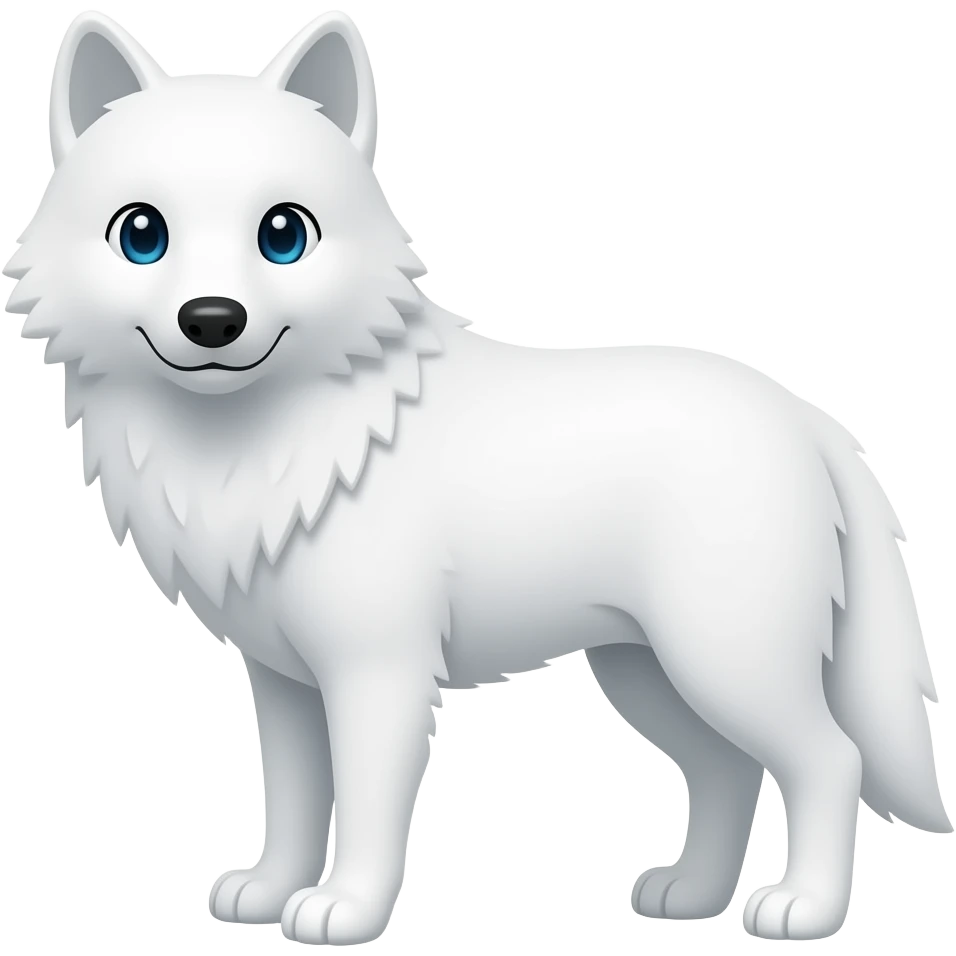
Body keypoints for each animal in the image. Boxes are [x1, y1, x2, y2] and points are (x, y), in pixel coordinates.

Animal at [4, 8, 949, 946]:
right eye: (142, 235)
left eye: (283, 235)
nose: (211, 320)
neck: (268, 441)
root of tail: (805, 415)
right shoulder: (283, 685)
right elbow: (297, 801)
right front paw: (268, 894)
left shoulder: (378, 673)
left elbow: (368, 810)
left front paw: (345, 910)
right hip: (646, 671)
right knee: (729, 771)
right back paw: (691, 896)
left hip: (725, 660)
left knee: (830, 759)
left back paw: (803, 909)